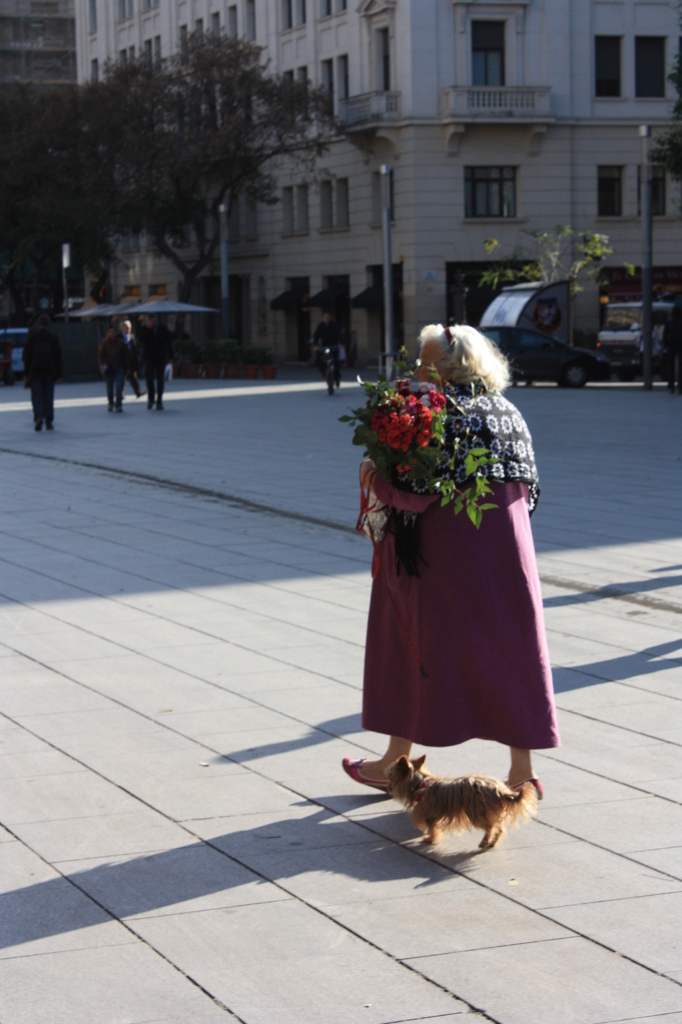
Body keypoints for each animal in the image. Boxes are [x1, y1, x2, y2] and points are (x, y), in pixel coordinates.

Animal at [387, 753, 536, 847]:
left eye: (391, 775)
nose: (388, 785)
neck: (420, 783)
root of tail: (500, 790)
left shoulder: (430, 816)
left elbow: (433, 829)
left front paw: (430, 839)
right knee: (498, 828)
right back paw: (492, 842)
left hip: (477, 813)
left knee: (491, 827)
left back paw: (485, 841)